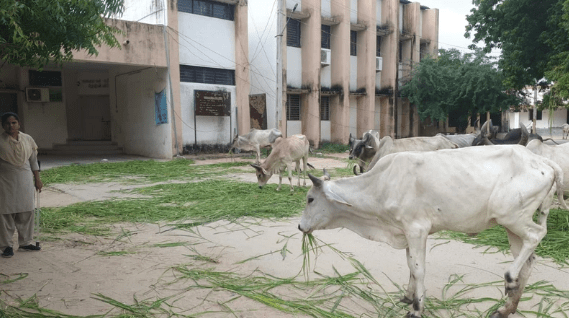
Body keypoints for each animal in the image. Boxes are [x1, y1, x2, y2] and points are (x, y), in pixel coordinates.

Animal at [300, 146, 564, 318]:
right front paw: (408, 297)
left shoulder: (417, 229)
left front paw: (417, 308)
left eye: (310, 199)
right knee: (528, 259)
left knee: (536, 235)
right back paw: (507, 307)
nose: (300, 226)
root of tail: (543, 162)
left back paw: (509, 279)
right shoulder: (406, 232)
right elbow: (410, 266)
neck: (381, 185)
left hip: (511, 216)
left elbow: (418, 269)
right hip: (512, 226)